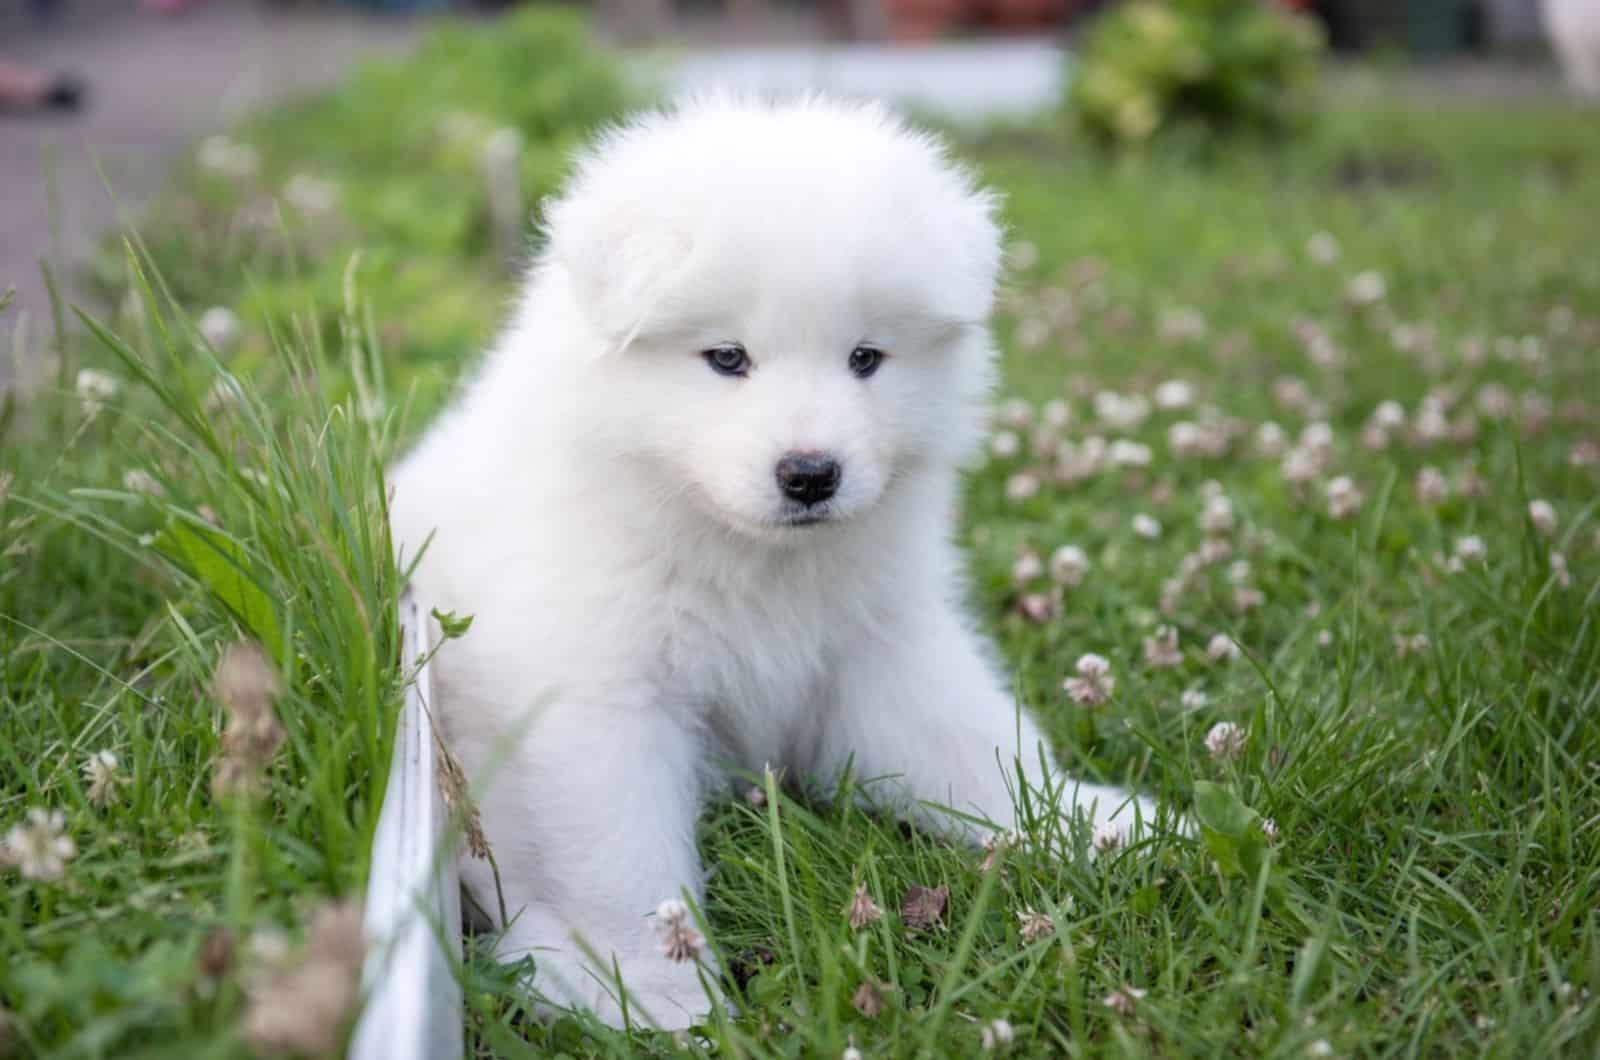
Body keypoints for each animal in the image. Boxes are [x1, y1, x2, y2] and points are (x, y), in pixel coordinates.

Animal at [388, 97, 1164, 1031]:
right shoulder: (592, 700)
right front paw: (647, 992)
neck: (750, 561)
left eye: (866, 358)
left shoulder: (877, 645)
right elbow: (621, 863)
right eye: (727, 358)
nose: (810, 474)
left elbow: (975, 743)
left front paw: (1095, 821)